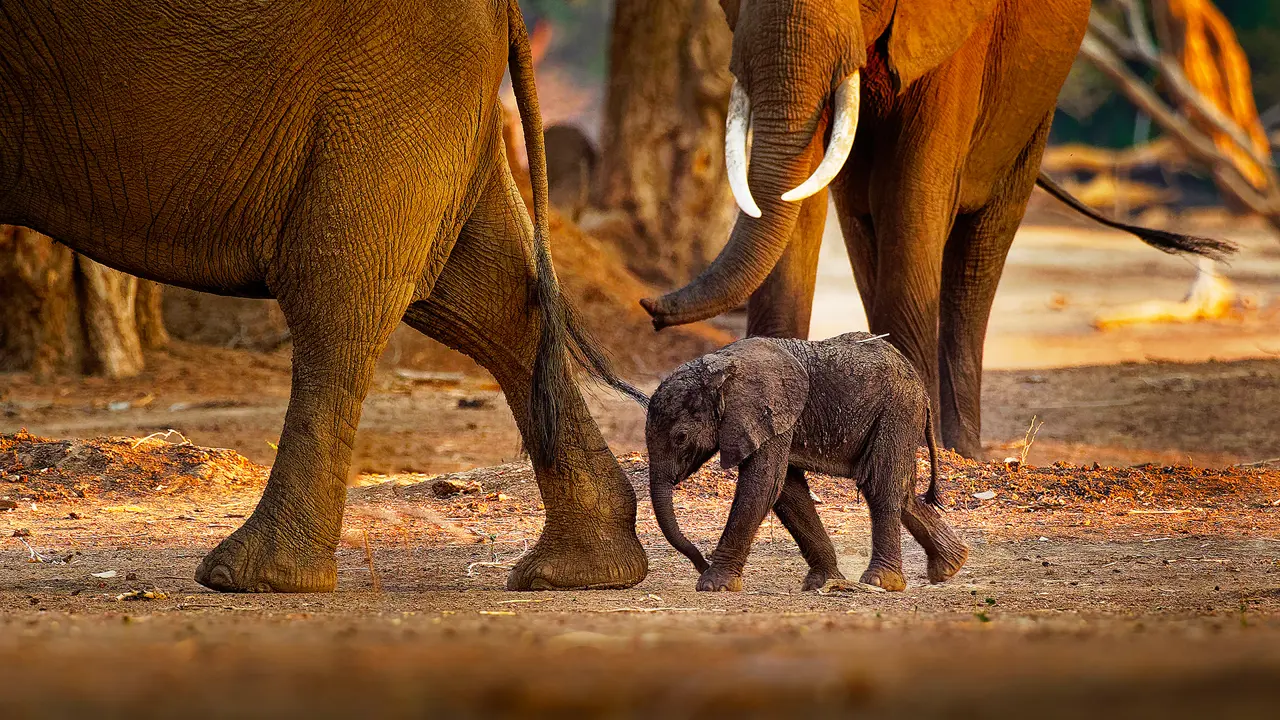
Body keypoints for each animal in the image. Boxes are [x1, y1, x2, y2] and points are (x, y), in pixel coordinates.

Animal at [640, 0, 1228, 456]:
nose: (652, 309)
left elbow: (911, 188)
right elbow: (803, 191)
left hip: (1034, 109)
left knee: (978, 250)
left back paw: (961, 450)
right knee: (863, 223)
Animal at [650, 330, 967, 589]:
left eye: (680, 437)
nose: (701, 562)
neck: (722, 366)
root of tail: (920, 387)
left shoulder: (769, 413)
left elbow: (762, 486)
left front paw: (714, 585)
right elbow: (788, 492)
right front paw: (822, 582)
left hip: (897, 412)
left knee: (880, 485)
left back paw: (882, 582)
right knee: (902, 492)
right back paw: (950, 567)